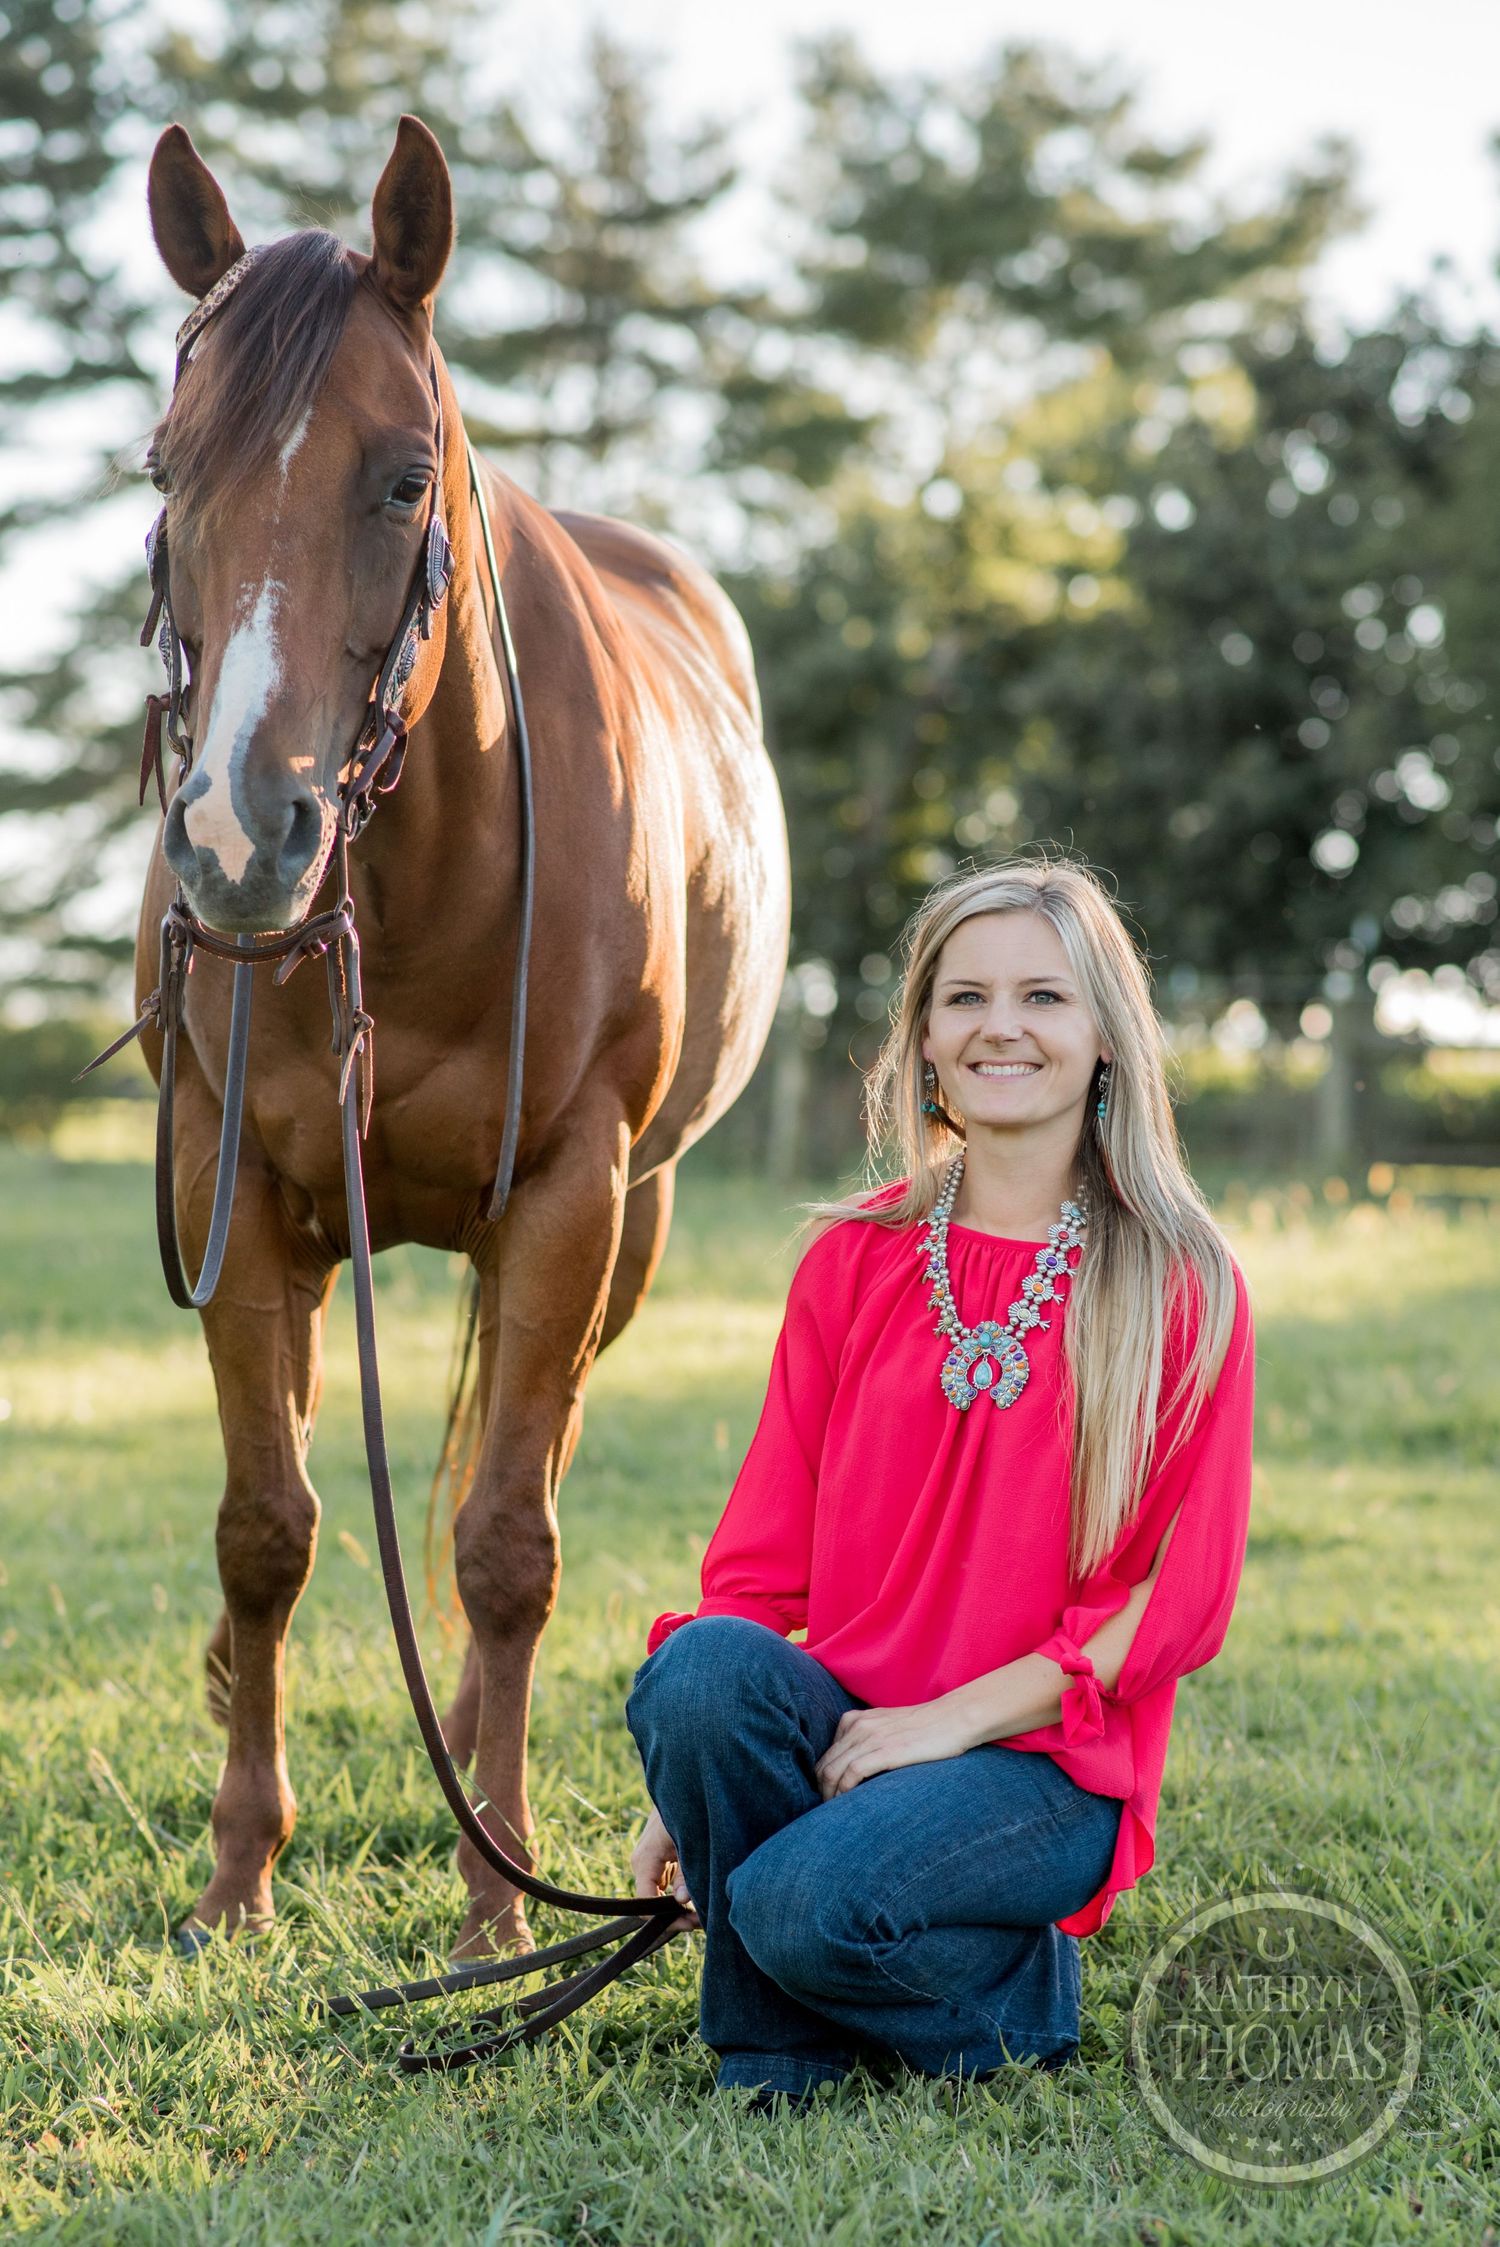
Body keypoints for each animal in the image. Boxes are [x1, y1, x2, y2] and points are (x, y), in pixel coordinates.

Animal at [136, 116, 790, 1959]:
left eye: (404, 477)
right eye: (166, 469)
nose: (243, 838)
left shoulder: (568, 1196)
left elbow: (505, 1542)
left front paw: (498, 1889)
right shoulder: (230, 1184)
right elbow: (267, 1529)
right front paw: (238, 1872)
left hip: (622, 1234)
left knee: (529, 1462)